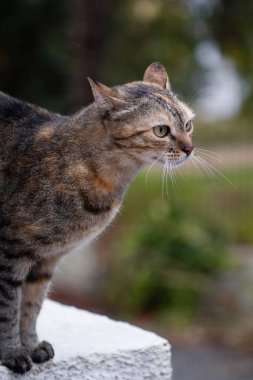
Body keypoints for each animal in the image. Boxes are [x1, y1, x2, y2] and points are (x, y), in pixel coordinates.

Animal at [0, 60, 195, 372]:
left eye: (188, 125)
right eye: (161, 130)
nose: (190, 148)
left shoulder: (46, 260)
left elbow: (30, 307)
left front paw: (30, 344)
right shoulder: (12, 250)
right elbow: (8, 308)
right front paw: (12, 353)